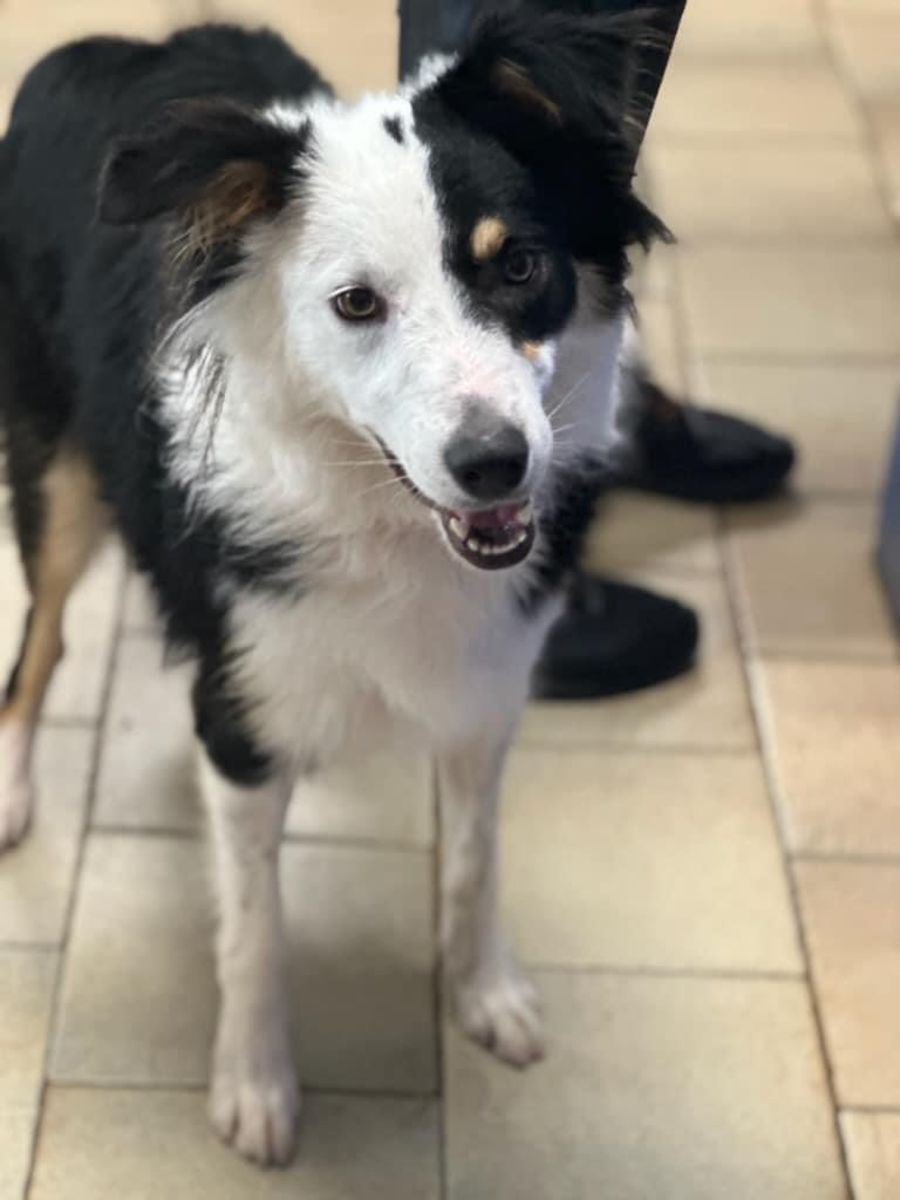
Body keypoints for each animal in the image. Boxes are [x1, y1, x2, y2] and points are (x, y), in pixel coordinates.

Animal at [0, 7, 664, 1167]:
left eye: (519, 264)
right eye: (356, 304)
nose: (495, 465)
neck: (388, 520)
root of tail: (109, 47)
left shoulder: (490, 688)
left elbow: (473, 858)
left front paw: (485, 994)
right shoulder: (247, 714)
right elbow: (254, 928)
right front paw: (255, 1084)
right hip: (55, 473)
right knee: (41, 639)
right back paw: (9, 787)